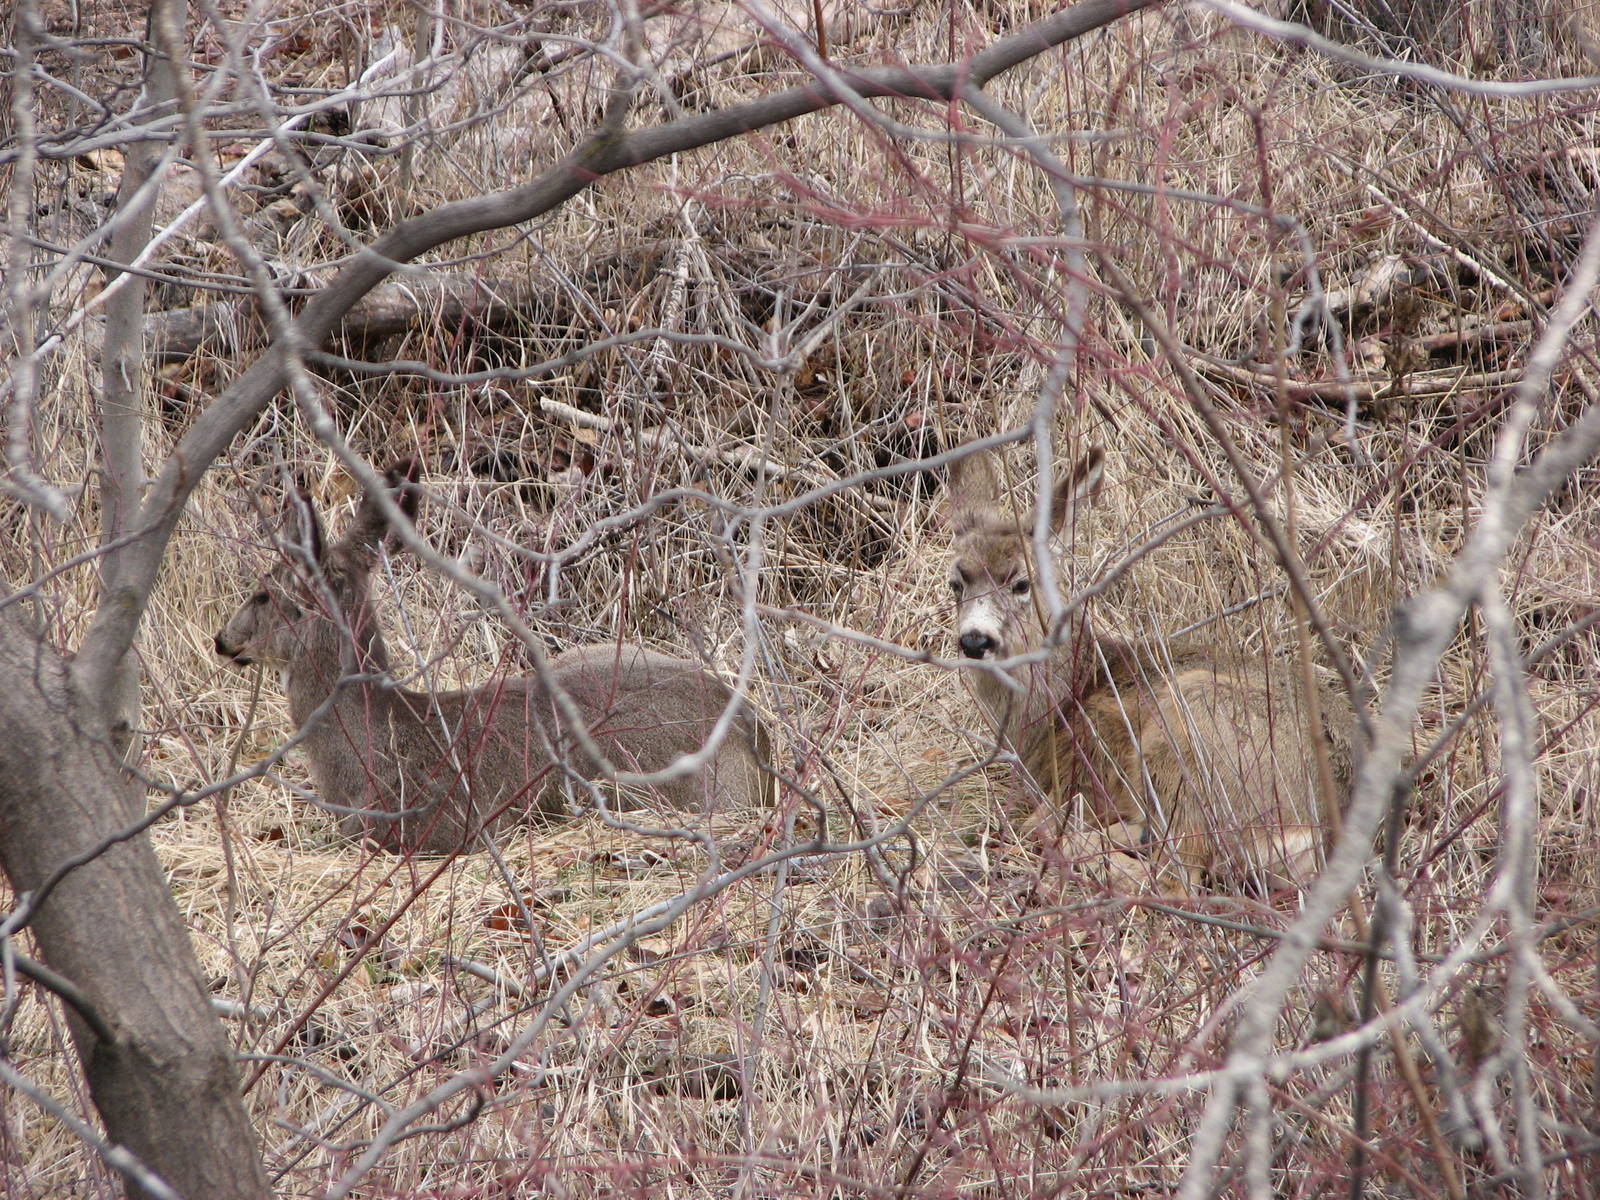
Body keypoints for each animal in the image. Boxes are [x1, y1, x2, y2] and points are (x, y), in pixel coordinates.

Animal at [946, 444, 1351, 894]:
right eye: (956, 583)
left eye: (1021, 583)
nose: (975, 641)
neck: (1063, 701)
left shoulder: (1084, 768)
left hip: (1191, 731)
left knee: (1174, 877)